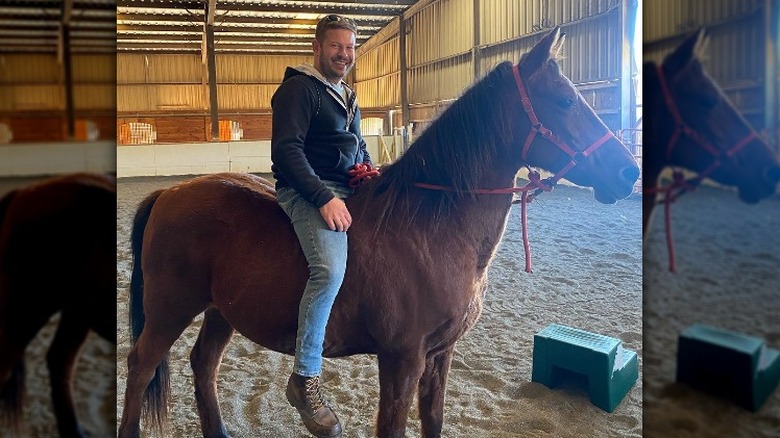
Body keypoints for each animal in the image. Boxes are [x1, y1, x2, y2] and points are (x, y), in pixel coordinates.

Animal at [117, 28, 640, 438]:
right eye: (566, 100)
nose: (628, 171)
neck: (430, 228)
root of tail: (168, 193)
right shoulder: (402, 359)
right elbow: (393, 426)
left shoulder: (440, 355)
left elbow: (433, 421)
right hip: (169, 310)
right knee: (140, 367)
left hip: (221, 310)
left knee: (203, 364)